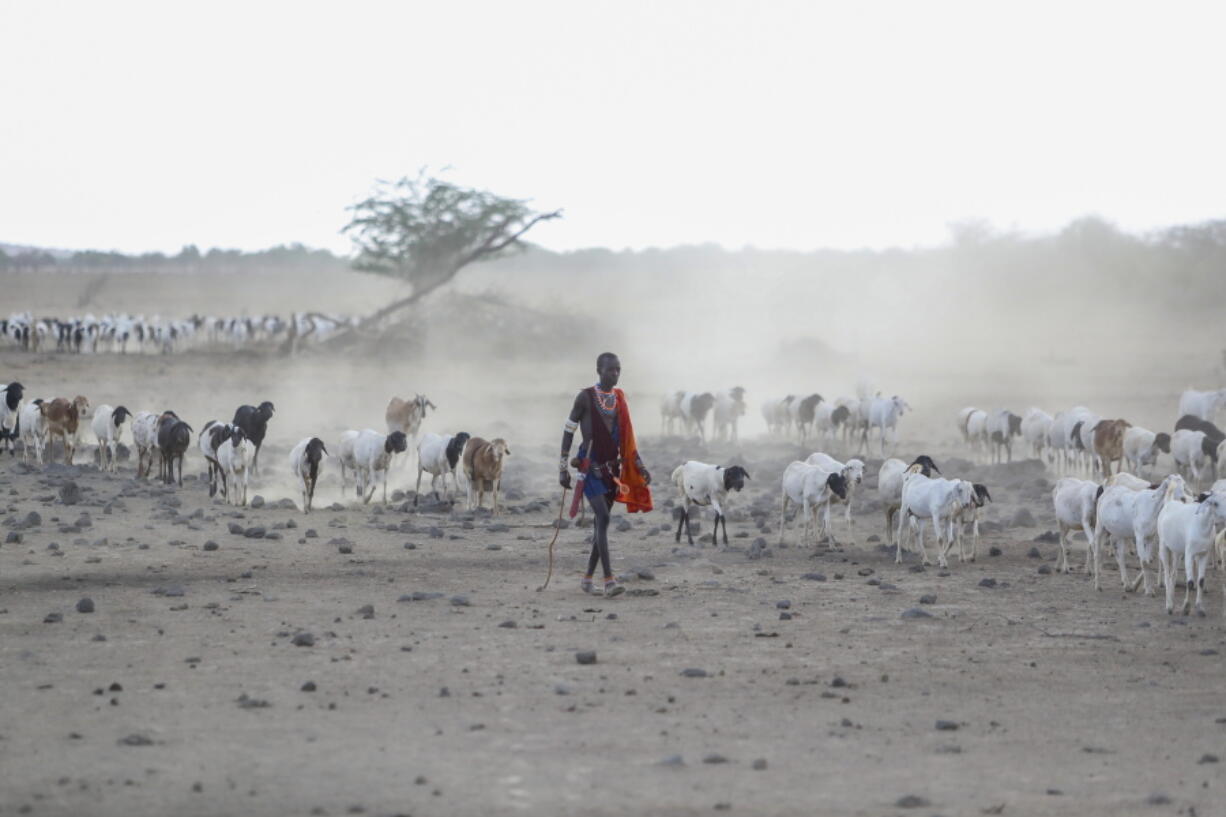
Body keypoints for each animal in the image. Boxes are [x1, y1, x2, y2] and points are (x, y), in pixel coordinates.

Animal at [1157, 485, 1226, 613]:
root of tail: (1169, 502)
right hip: (1163, 546)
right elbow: (1189, 582)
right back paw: (1169, 606)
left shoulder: (1204, 554)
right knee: (1167, 575)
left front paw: (1200, 607)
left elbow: (1201, 581)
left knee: (1173, 574)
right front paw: (1186, 607)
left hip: (1177, 552)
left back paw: (1172, 601)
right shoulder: (1189, 554)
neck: (1201, 524)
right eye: (1215, 503)